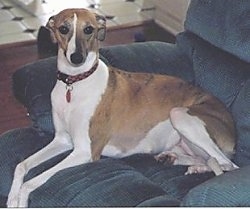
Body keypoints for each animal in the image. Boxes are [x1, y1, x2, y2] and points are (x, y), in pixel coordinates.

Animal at [7, 8, 238, 207]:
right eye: (63, 29)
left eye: (88, 29)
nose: (76, 58)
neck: (76, 82)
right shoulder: (62, 140)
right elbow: (21, 165)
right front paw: (11, 198)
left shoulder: (85, 151)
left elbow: (33, 181)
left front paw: (20, 200)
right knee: (209, 160)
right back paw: (178, 161)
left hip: (180, 115)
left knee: (226, 164)